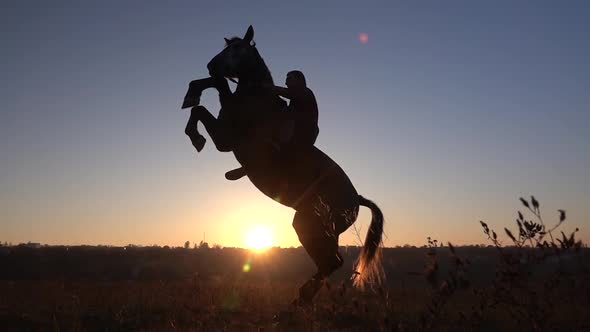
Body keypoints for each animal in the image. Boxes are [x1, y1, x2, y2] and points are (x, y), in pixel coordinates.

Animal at [185, 24, 388, 302]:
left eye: (238, 48)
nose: (211, 66)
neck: (257, 101)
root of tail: (356, 199)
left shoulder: (226, 139)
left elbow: (202, 110)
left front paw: (196, 136)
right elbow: (209, 96)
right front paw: (193, 96)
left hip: (310, 226)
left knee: (331, 262)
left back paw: (302, 298)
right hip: (326, 232)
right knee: (332, 262)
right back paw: (302, 298)